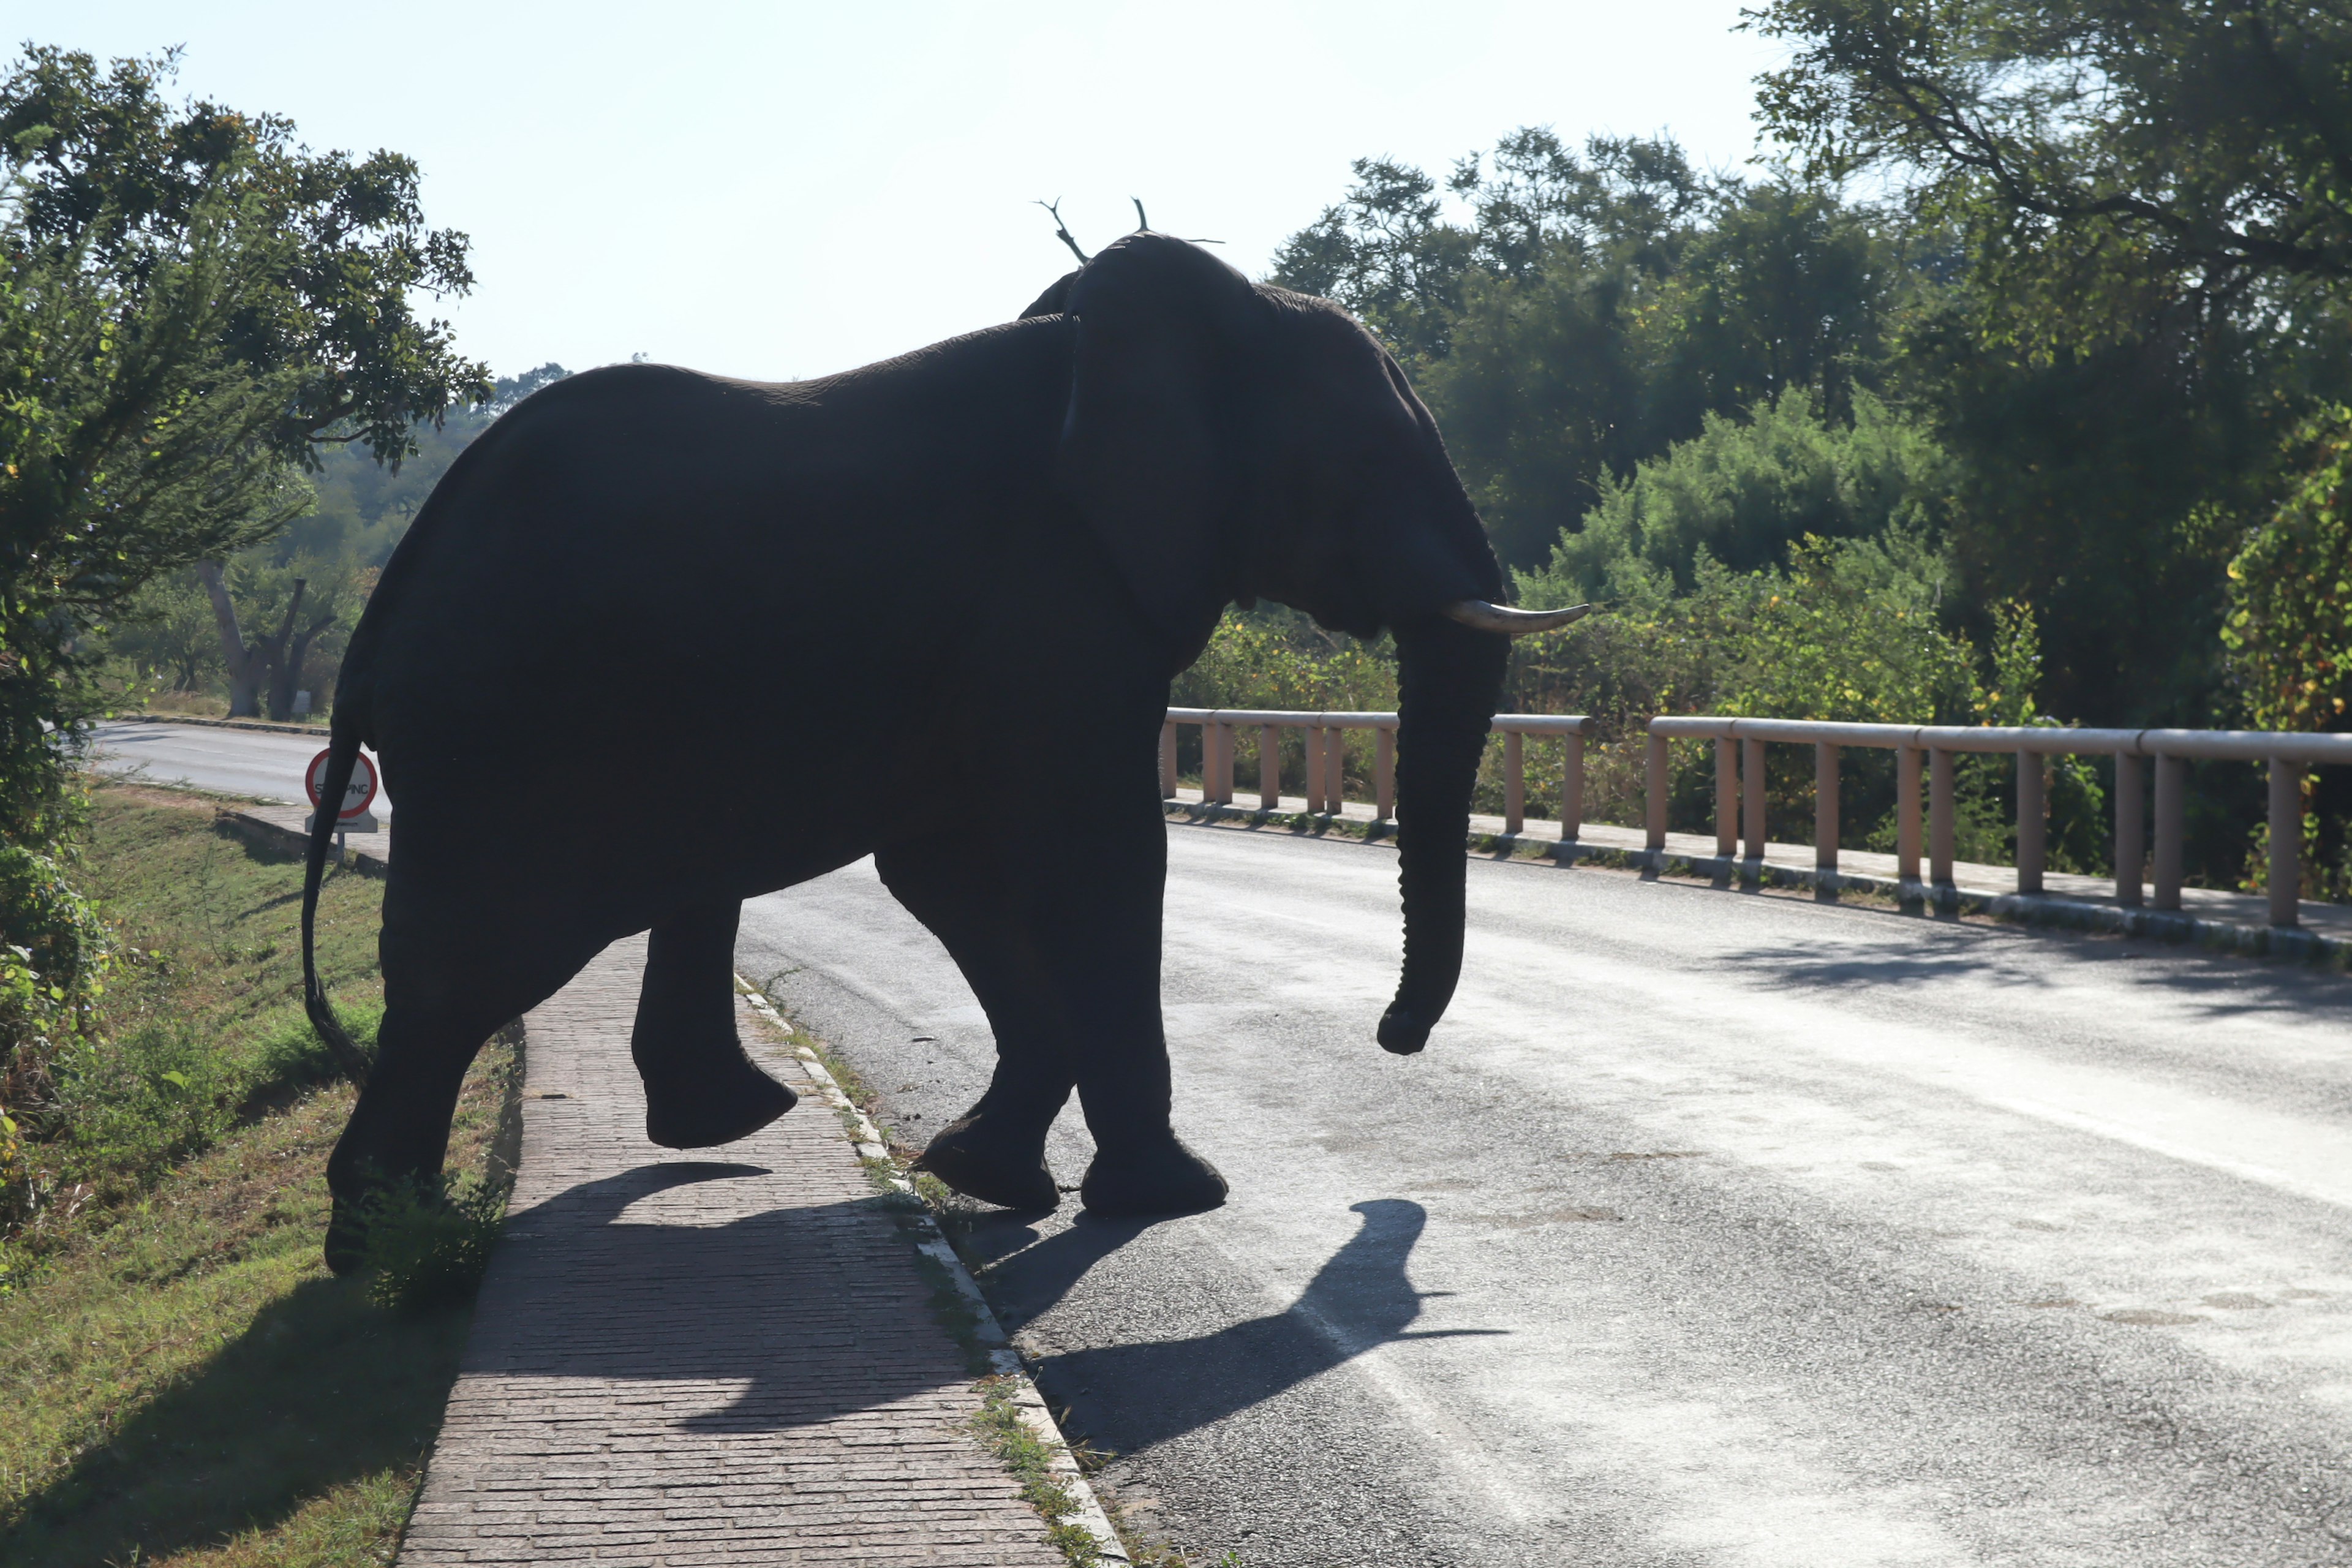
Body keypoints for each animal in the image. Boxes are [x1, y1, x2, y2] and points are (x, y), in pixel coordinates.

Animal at [298, 230, 1580, 1278]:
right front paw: (1172, 1201)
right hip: (504, 738)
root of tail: (377, 622)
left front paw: (983, 1174)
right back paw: (397, 1246)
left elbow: (949, 874)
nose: (1394, 1036)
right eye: (1369, 457)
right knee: (470, 970)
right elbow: (1100, 855)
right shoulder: (1057, 599)